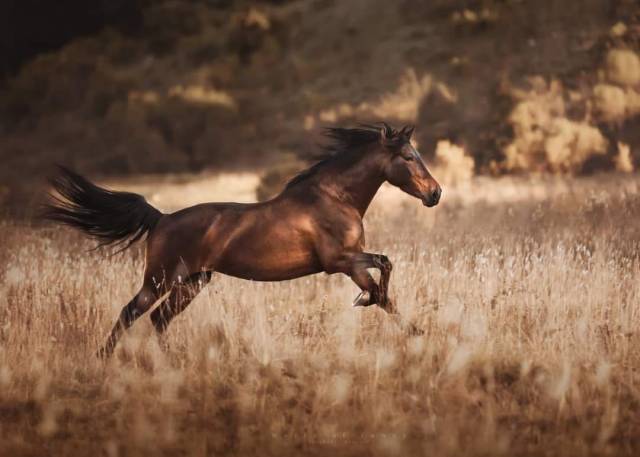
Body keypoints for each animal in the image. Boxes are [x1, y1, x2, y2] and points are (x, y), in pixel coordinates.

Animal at [43, 124, 440, 356]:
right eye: (408, 157)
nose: (435, 193)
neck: (335, 197)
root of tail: (162, 218)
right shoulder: (340, 261)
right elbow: (385, 270)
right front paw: (394, 317)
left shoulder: (352, 262)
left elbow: (385, 294)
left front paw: (414, 330)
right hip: (161, 279)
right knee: (132, 313)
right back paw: (104, 360)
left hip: (192, 282)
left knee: (159, 319)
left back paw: (172, 362)